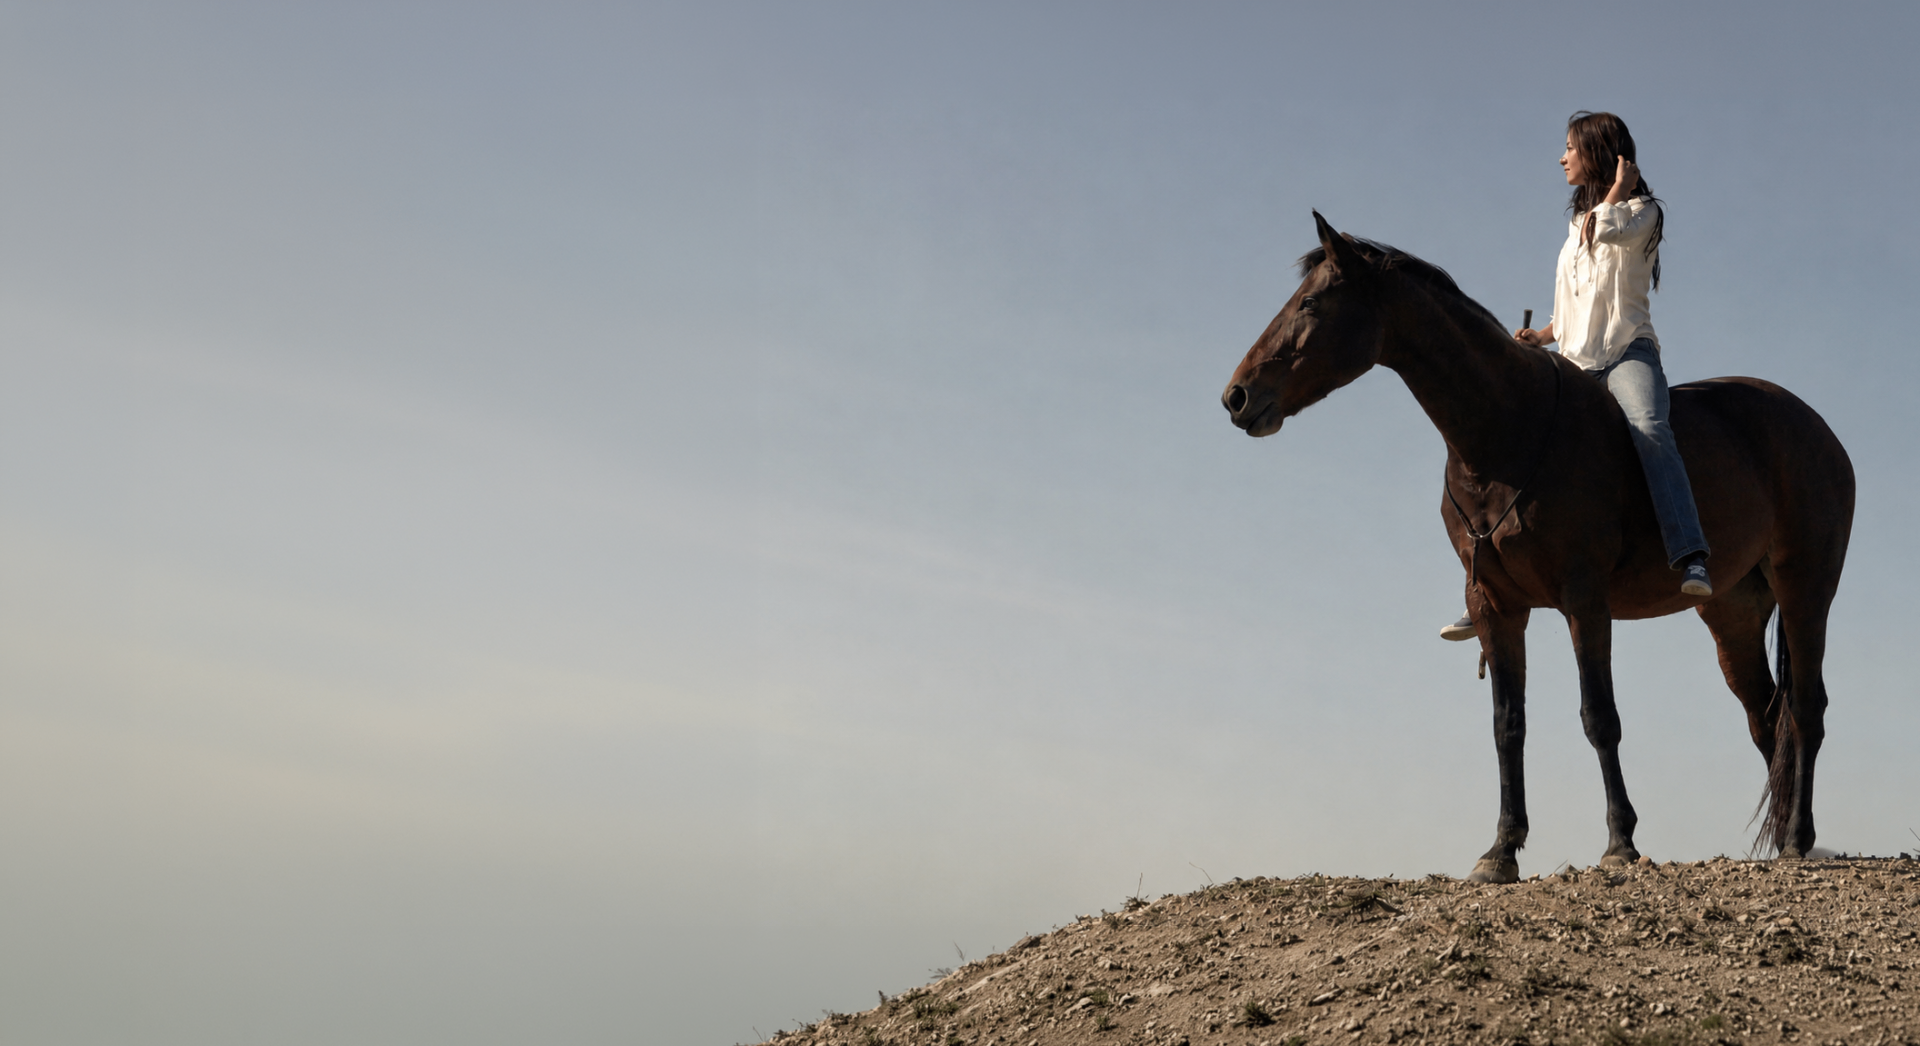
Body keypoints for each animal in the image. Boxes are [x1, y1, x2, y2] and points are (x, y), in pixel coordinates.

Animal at [1220, 213, 1854, 883]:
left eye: (1310, 303)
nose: (1236, 397)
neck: (1506, 432)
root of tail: (1816, 428)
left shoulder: (1584, 599)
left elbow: (1599, 716)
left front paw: (1620, 842)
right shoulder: (1496, 606)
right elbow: (1508, 725)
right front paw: (1500, 850)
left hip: (1806, 589)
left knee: (1806, 707)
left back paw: (1797, 839)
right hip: (1732, 613)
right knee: (1767, 718)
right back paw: (1782, 838)